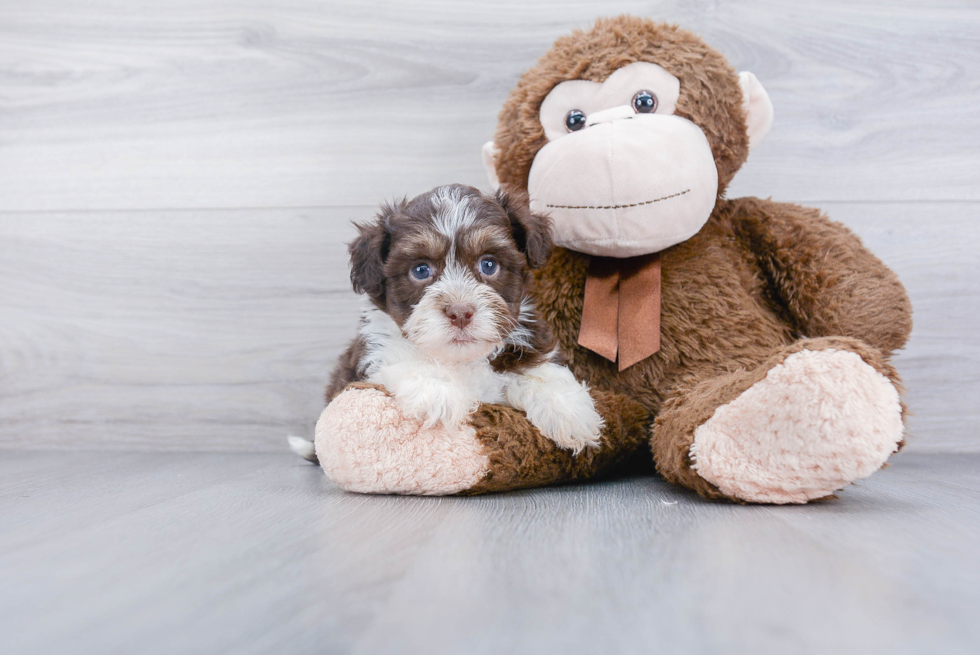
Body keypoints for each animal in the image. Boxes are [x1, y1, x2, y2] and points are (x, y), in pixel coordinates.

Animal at [288, 182, 600, 464]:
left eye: (489, 265)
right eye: (421, 270)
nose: (460, 312)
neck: (460, 360)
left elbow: (538, 370)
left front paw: (568, 409)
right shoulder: (372, 355)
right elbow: (401, 359)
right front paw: (436, 392)